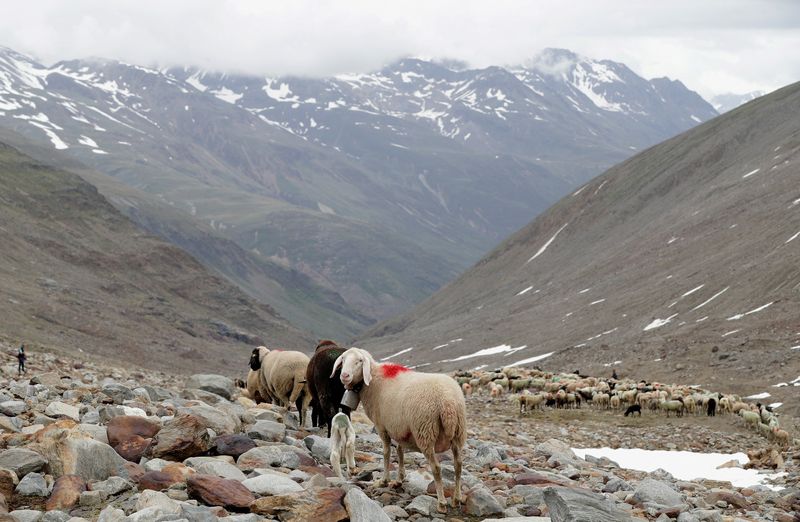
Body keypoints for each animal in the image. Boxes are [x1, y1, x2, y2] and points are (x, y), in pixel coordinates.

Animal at [332, 347, 466, 513]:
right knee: (458, 465)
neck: (373, 381)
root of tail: (448, 402)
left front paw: (384, 480)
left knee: (436, 468)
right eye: (343, 359)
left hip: (425, 431)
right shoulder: (399, 428)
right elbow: (400, 451)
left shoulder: (382, 427)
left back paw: (441, 503)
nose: (344, 376)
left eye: (360, 361)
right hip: (458, 433)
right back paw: (456, 499)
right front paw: (399, 479)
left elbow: (386, 453)